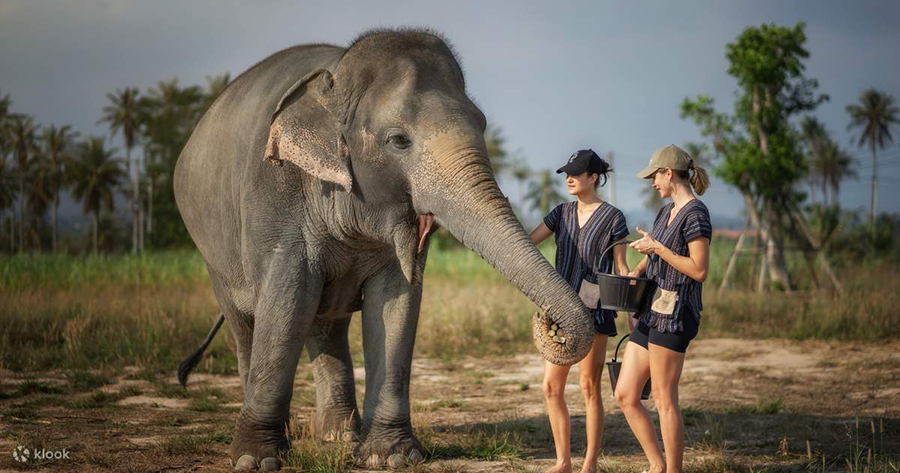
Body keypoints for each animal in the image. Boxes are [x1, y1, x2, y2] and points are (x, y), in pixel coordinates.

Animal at [173, 28, 595, 471]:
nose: (551, 322)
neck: (336, 78)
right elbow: (286, 302)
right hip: (213, 252)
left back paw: (339, 436)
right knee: (248, 325)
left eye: (481, 123)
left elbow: (396, 303)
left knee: (325, 324)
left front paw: (391, 457)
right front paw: (256, 461)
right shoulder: (275, 194)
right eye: (398, 141)